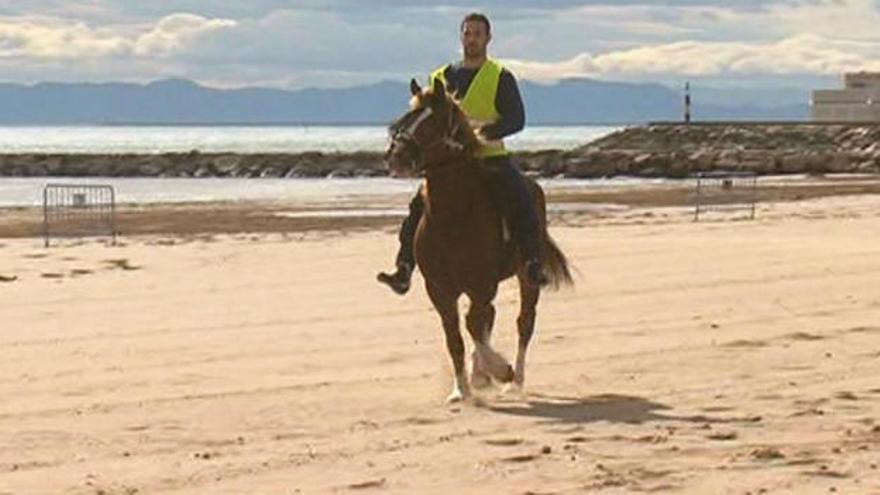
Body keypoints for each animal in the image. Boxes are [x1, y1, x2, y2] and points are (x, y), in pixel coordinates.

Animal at [388, 77, 576, 404]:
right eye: (407, 117)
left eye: (432, 121)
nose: (395, 156)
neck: (453, 214)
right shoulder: (438, 288)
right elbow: (455, 336)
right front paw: (461, 388)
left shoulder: (481, 283)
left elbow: (473, 324)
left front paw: (501, 370)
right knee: (488, 317)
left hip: (526, 277)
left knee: (523, 322)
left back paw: (514, 381)